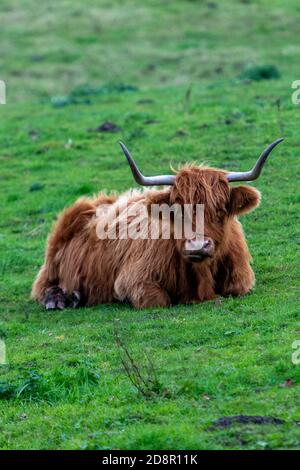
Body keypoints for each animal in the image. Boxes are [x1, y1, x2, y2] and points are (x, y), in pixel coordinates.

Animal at [31, 138, 282, 310]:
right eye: (177, 211)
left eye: (220, 209)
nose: (197, 246)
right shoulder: (133, 280)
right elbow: (158, 300)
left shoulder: (241, 276)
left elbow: (237, 288)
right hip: (53, 262)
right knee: (41, 287)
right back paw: (60, 299)